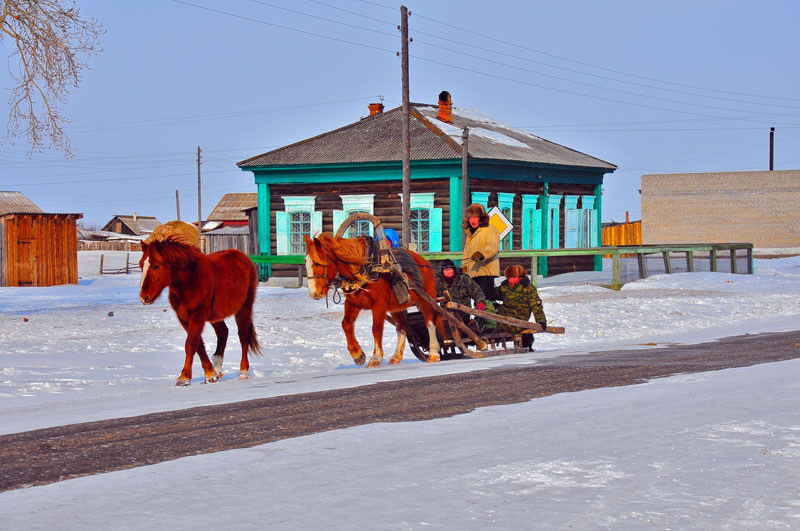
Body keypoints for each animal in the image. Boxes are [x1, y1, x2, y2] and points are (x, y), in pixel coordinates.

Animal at [138, 237, 260, 386]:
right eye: (141, 265)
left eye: (156, 266)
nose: (144, 297)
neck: (189, 281)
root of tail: (244, 258)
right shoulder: (184, 318)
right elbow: (198, 345)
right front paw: (210, 374)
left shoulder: (198, 315)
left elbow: (191, 344)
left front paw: (184, 377)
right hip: (215, 317)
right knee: (223, 333)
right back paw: (218, 369)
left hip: (244, 309)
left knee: (243, 336)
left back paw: (243, 371)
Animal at [304, 235, 444, 368]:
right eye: (305, 262)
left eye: (317, 263)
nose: (314, 294)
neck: (367, 271)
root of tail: (424, 262)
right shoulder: (353, 303)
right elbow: (346, 324)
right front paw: (357, 354)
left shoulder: (379, 306)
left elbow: (376, 329)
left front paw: (376, 358)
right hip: (397, 306)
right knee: (401, 327)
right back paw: (396, 356)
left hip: (426, 300)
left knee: (430, 322)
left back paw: (433, 353)